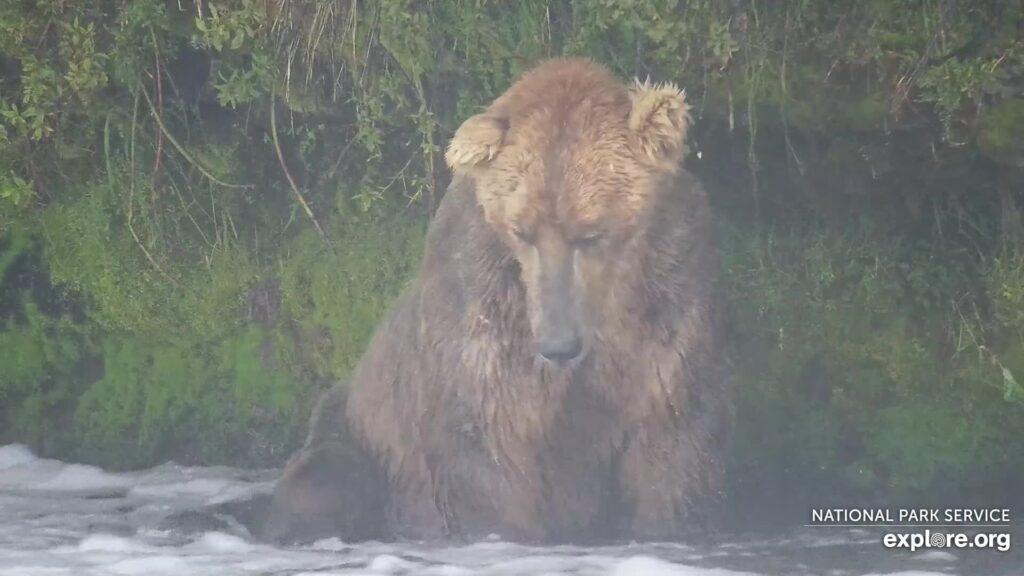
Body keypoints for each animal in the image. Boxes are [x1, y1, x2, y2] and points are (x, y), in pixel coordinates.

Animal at [260, 57, 733, 541]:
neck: (606, 306)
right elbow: (487, 444)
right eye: (522, 230)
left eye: (590, 232)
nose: (558, 346)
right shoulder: (484, 307)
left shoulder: (669, 301)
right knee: (326, 480)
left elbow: (673, 445)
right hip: (352, 431)